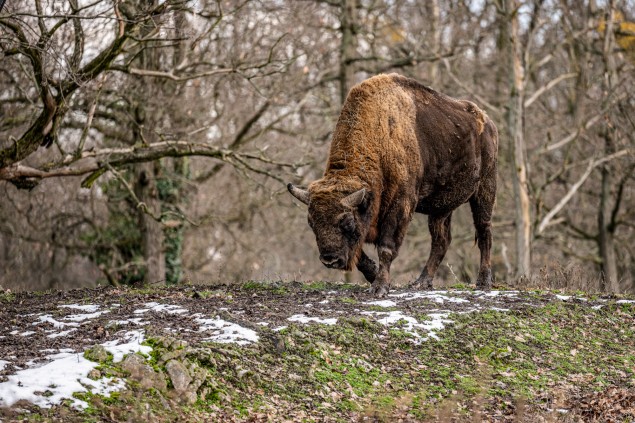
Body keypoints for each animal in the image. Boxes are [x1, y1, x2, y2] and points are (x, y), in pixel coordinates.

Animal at [288, 73, 496, 296]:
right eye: (311, 222)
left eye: (347, 221)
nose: (330, 259)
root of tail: (487, 122)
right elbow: (359, 253)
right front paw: (372, 275)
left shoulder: (401, 204)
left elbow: (386, 248)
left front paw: (380, 287)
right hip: (441, 208)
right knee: (441, 241)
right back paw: (421, 282)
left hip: (485, 190)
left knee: (484, 232)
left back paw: (483, 281)